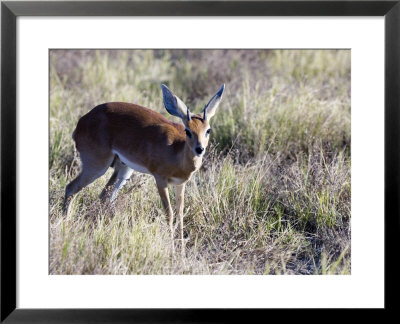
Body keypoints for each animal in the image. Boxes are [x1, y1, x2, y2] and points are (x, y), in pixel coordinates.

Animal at [64, 83, 223, 253]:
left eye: (208, 130)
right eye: (188, 130)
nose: (199, 149)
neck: (176, 152)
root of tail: (81, 122)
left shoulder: (180, 184)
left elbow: (180, 214)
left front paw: (181, 252)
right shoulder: (160, 180)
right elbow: (169, 213)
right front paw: (173, 252)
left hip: (124, 170)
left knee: (104, 197)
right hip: (97, 166)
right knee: (70, 188)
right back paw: (65, 225)